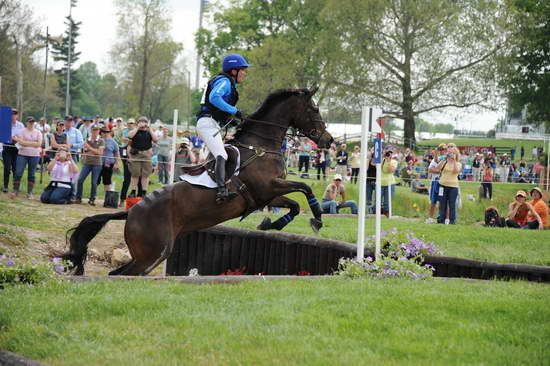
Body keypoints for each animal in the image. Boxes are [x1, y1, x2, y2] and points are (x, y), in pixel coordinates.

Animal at [62, 87, 334, 274]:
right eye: (314, 110)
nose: (328, 140)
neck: (261, 146)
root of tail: (131, 212)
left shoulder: (267, 195)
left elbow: (295, 204)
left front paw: (270, 224)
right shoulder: (268, 187)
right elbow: (305, 188)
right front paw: (317, 220)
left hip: (145, 255)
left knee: (117, 273)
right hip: (153, 254)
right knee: (125, 275)